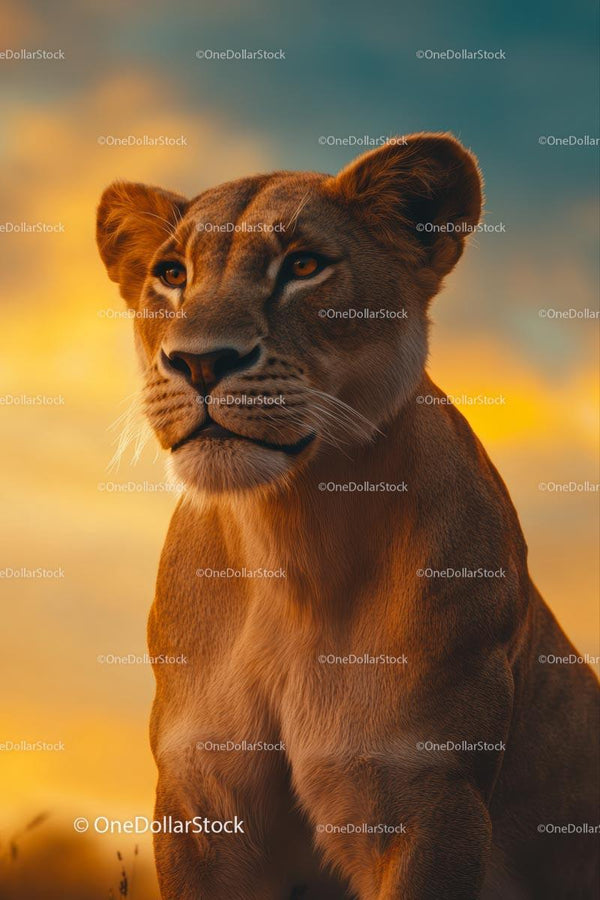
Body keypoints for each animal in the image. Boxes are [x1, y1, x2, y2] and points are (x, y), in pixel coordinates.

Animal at [97, 133, 599, 899]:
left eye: (304, 265)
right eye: (172, 273)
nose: (199, 362)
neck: (288, 546)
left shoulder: (430, 794)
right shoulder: (197, 802)